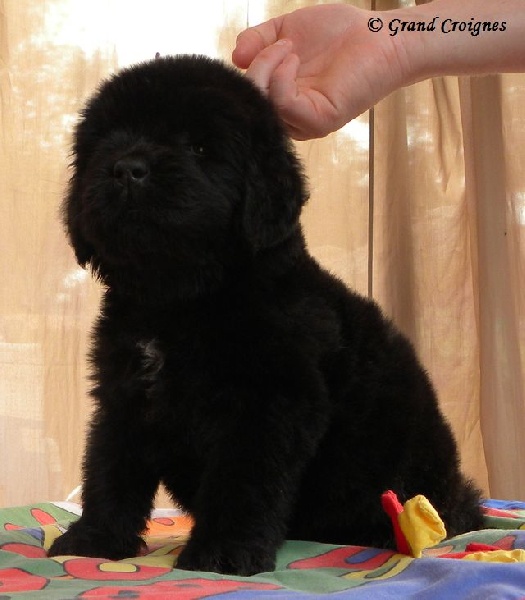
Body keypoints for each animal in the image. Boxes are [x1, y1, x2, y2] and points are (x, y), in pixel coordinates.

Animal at [48, 55, 483, 575]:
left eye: (199, 146)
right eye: (109, 137)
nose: (126, 168)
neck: (178, 303)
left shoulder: (267, 403)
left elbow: (242, 480)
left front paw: (222, 551)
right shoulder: (126, 397)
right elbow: (110, 470)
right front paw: (94, 539)